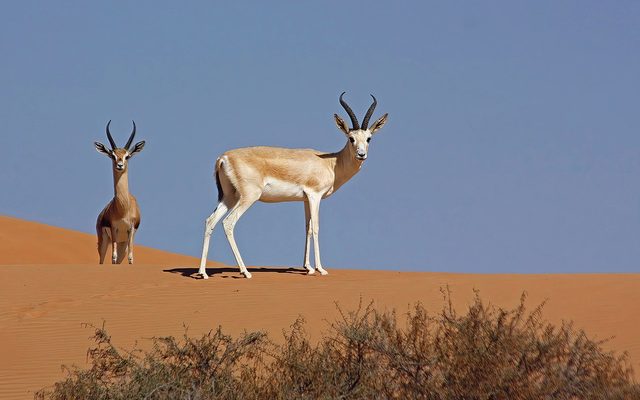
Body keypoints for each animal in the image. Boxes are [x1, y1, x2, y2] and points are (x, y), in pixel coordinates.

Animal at [94, 121, 146, 264]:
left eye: (127, 156)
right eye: (113, 155)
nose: (120, 165)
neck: (123, 207)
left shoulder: (131, 230)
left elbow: (130, 258)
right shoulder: (114, 229)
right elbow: (113, 257)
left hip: (123, 243)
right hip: (104, 241)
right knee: (102, 260)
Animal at [198, 93, 388, 279]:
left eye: (369, 138)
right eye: (351, 138)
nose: (361, 154)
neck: (331, 163)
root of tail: (223, 157)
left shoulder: (305, 200)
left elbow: (307, 228)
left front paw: (308, 268)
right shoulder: (315, 196)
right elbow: (316, 227)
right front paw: (320, 269)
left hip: (229, 197)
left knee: (210, 221)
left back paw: (203, 272)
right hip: (248, 197)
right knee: (228, 223)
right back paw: (245, 271)